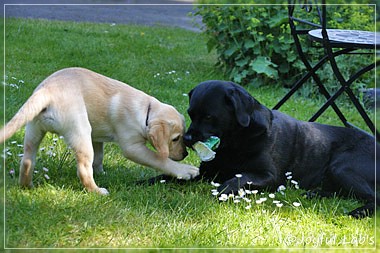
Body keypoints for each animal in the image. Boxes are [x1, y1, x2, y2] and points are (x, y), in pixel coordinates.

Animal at [0, 66, 199, 194]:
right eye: (175, 138)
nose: (185, 154)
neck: (146, 112)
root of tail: (47, 90)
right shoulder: (133, 147)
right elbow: (159, 159)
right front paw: (185, 170)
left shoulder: (97, 138)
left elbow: (99, 156)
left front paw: (102, 172)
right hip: (80, 130)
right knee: (83, 168)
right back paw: (97, 190)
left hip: (33, 128)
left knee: (27, 160)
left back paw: (27, 186)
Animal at [148, 80, 378, 217]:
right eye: (190, 113)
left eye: (209, 116)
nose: (187, 139)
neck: (235, 142)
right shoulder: (206, 171)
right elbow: (170, 175)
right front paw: (146, 181)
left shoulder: (269, 176)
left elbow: (238, 178)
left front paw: (222, 191)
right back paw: (316, 193)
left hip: (341, 167)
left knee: (374, 197)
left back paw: (357, 212)